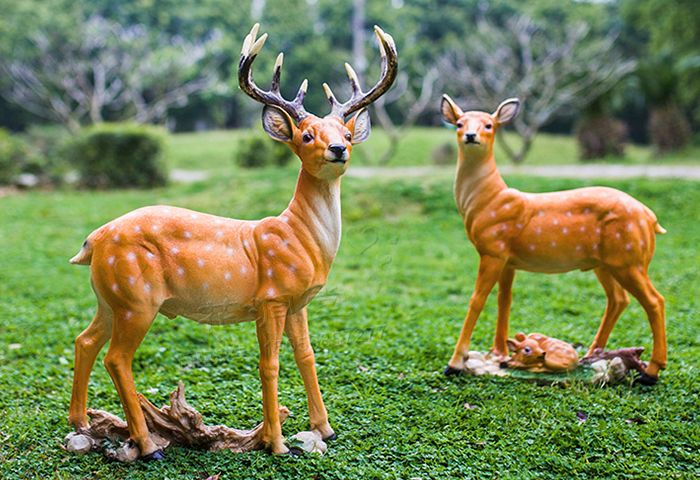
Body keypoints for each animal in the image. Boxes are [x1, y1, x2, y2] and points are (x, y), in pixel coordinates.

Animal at [442, 95, 668, 384]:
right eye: (459, 123)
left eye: (489, 125)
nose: (471, 135)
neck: (486, 201)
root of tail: (651, 219)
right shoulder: (508, 259)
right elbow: (504, 300)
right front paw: (499, 354)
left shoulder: (492, 249)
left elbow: (476, 300)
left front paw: (455, 363)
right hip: (605, 263)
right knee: (619, 299)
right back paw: (592, 355)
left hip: (630, 258)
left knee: (654, 300)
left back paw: (650, 372)